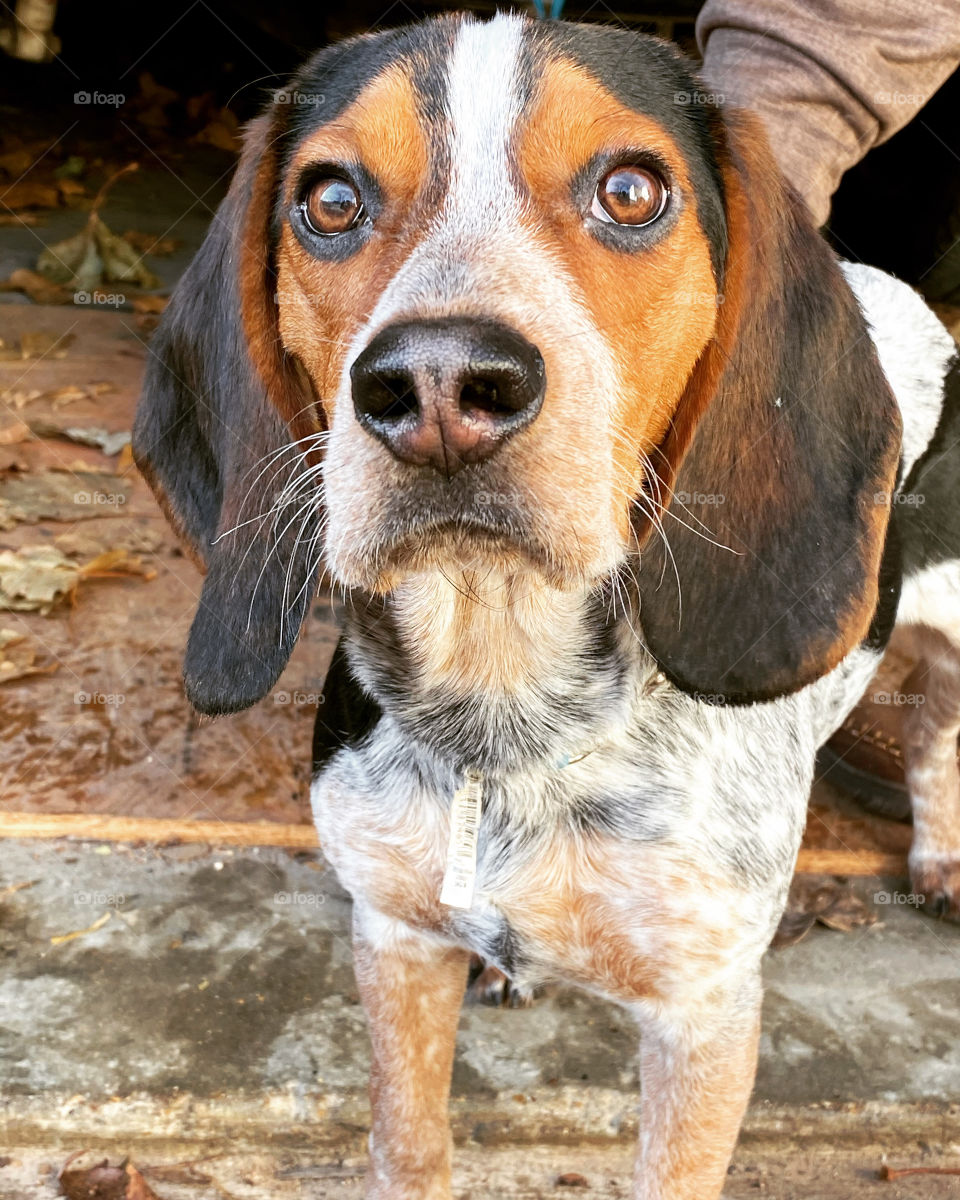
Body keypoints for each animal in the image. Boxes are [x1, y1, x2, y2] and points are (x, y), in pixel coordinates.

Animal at [133, 11, 960, 1200]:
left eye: (631, 191)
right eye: (329, 201)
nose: (437, 383)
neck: (507, 715)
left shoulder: (705, 1016)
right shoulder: (395, 940)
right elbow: (410, 1143)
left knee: (937, 723)